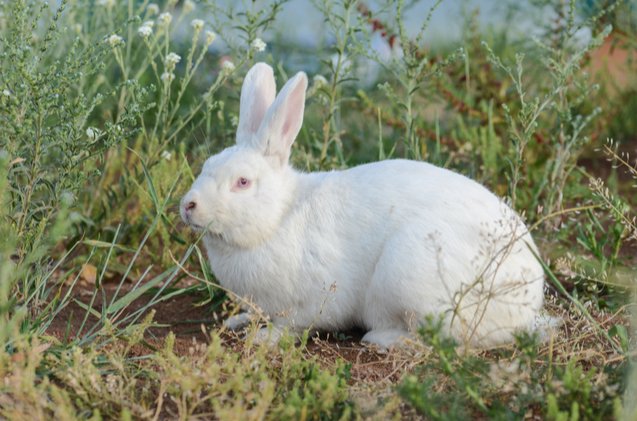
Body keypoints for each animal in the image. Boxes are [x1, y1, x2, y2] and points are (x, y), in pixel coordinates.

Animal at [180, 61, 548, 348]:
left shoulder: (313, 299)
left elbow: (294, 325)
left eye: (242, 182)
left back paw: (382, 338)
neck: (278, 217)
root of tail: (526, 308)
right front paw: (238, 321)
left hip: (411, 274)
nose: (188, 206)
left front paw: (264, 338)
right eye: (207, 164)